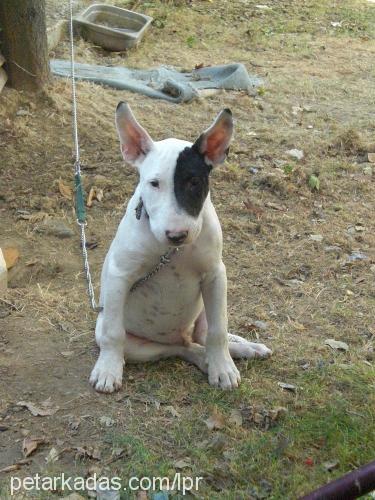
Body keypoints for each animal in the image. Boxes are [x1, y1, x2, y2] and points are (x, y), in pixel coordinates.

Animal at [89, 101, 272, 392]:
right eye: (154, 184)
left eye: (194, 182)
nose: (176, 235)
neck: (172, 253)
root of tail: (179, 334)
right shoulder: (120, 275)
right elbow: (113, 333)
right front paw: (107, 370)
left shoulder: (215, 275)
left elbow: (218, 331)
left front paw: (224, 368)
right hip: (140, 346)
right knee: (183, 349)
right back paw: (205, 359)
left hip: (206, 307)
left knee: (205, 336)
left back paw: (242, 349)